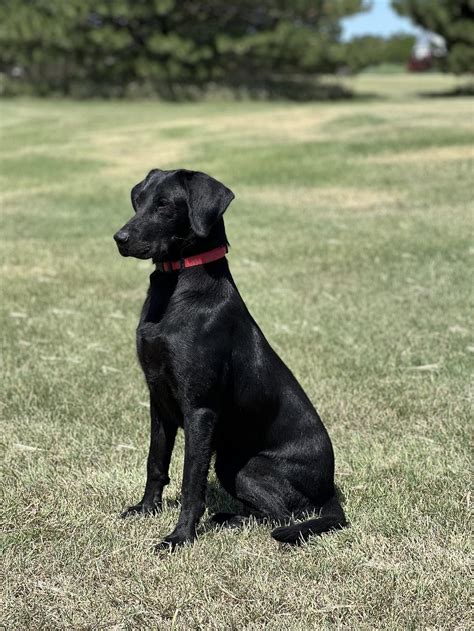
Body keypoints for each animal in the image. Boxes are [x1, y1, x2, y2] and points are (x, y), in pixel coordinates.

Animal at [113, 168, 346, 548]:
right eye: (139, 200)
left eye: (165, 205)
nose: (120, 238)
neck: (177, 286)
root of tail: (328, 489)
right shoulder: (158, 398)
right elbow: (155, 463)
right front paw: (146, 509)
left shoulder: (200, 409)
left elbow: (191, 482)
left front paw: (180, 537)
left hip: (239, 465)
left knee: (282, 515)